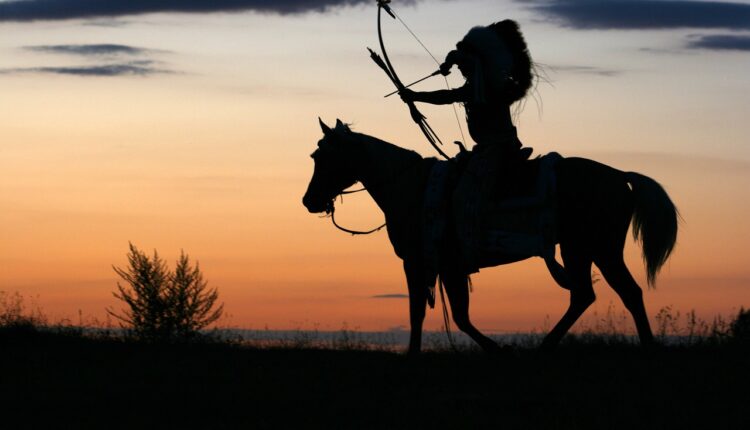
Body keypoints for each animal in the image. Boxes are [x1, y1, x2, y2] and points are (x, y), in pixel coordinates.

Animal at [302, 119, 680, 354]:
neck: (414, 187)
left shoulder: (425, 262)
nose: (310, 201)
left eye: (323, 156)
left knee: (614, 293)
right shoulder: (446, 267)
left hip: (593, 248)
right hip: (586, 249)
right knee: (595, 295)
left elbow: (431, 314)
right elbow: (453, 315)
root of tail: (620, 175)